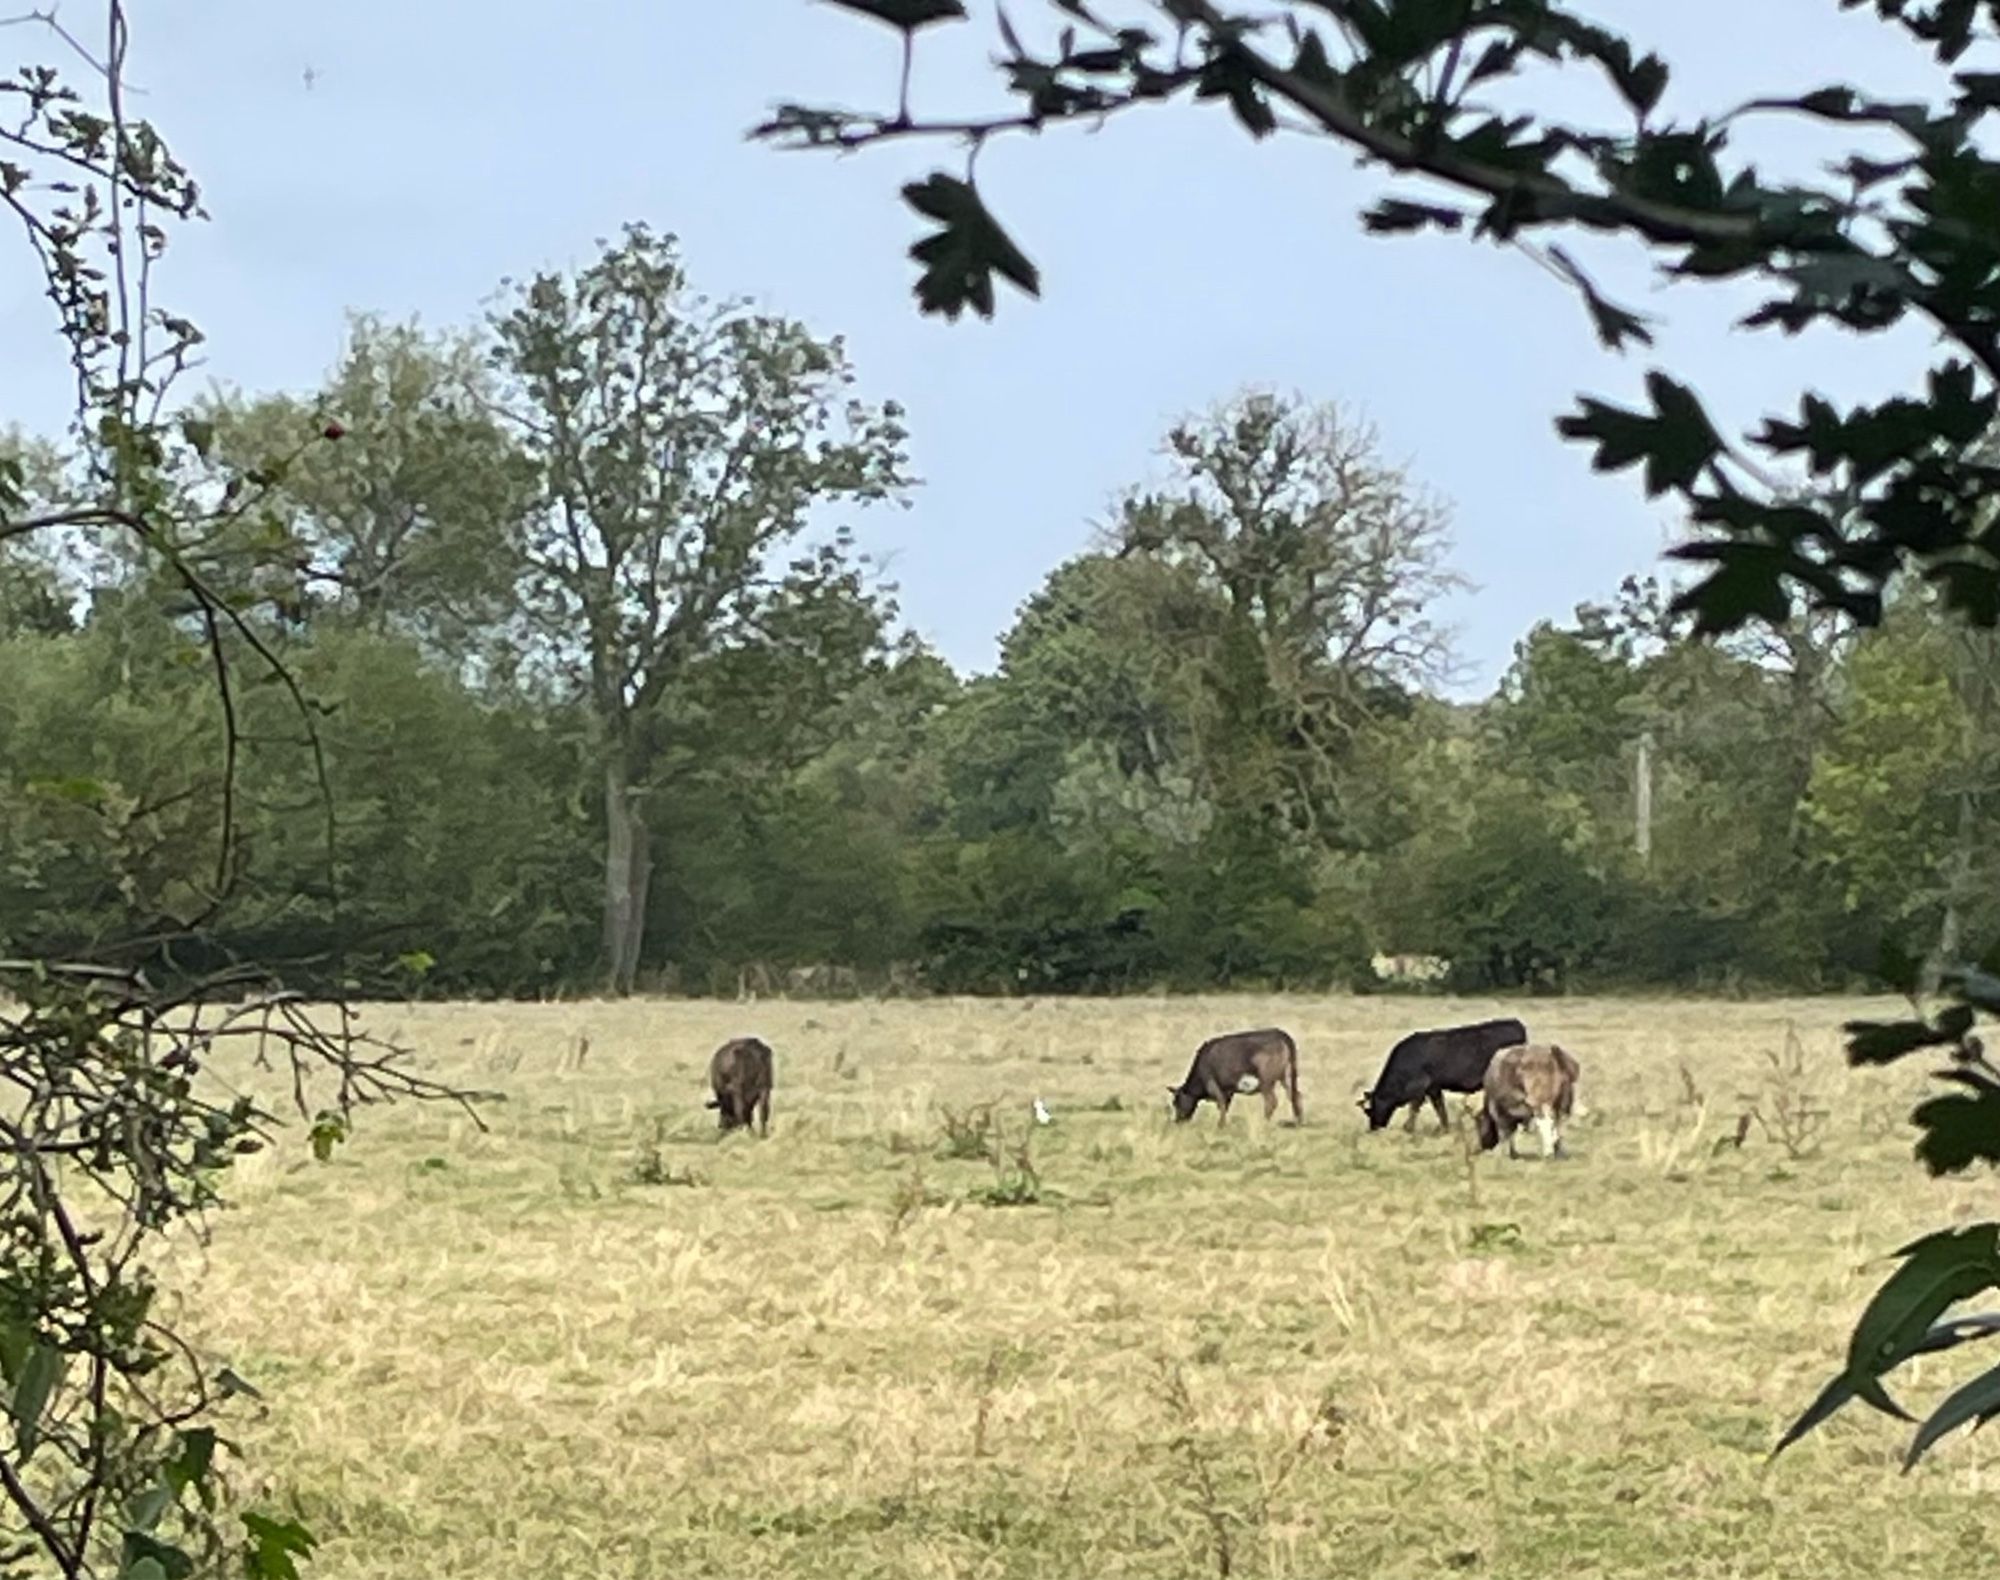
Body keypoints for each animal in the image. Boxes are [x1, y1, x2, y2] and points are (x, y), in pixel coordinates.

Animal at [1168, 1032, 1304, 1136]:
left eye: (1176, 1102)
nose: (1177, 1121)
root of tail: (1280, 1033)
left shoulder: (1213, 1085)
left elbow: (1222, 1105)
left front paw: (1220, 1126)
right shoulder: (1228, 1091)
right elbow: (1225, 1107)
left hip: (1266, 1081)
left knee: (1271, 1101)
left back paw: (1263, 1124)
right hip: (1286, 1077)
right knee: (1296, 1095)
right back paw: (1299, 1123)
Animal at [1360, 1020, 1528, 1136]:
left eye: (1370, 1109)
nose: (1373, 1127)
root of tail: (1516, 1023)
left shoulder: (1423, 1087)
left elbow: (1418, 1107)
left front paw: (1408, 1128)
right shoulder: (1433, 1087)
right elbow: (1438, 1107)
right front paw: (1444, 1129)